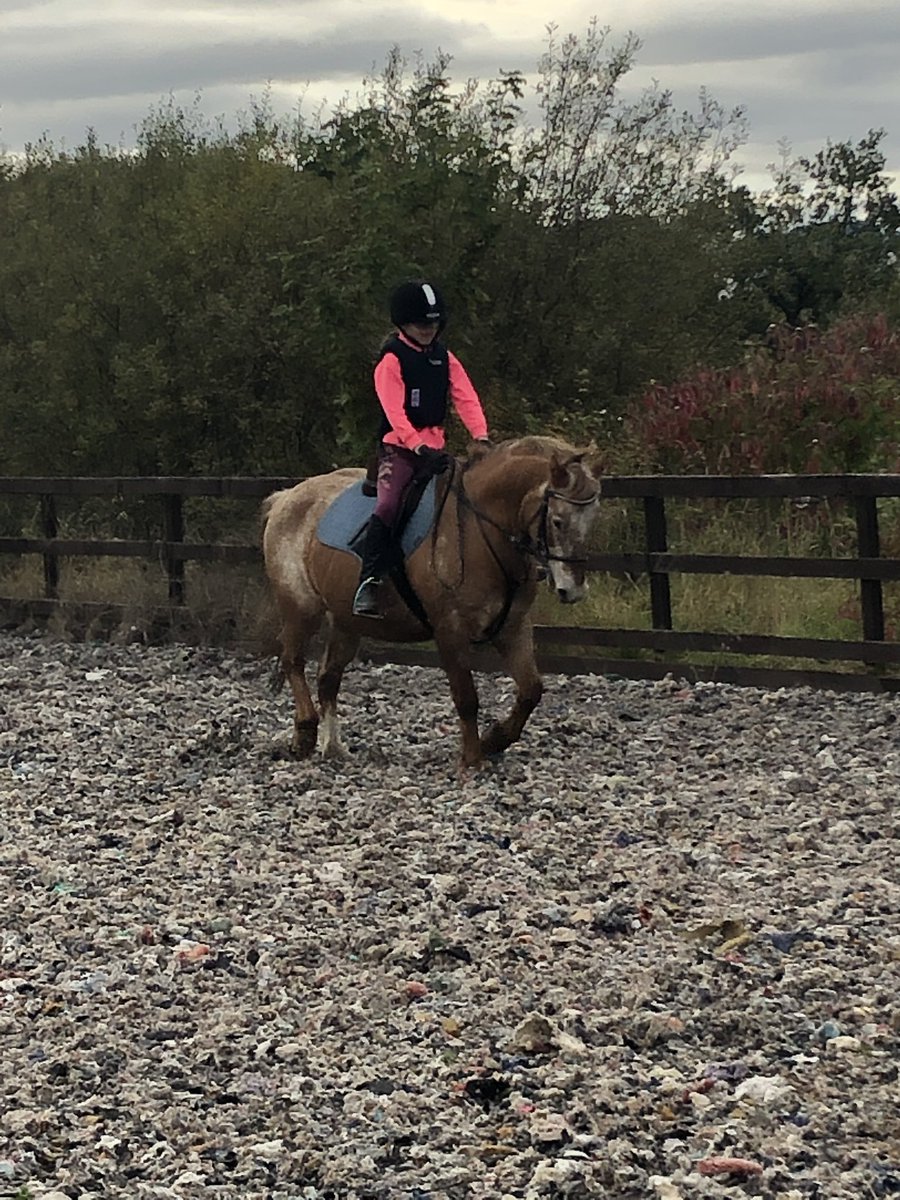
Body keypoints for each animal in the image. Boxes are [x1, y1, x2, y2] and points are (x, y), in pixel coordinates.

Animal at [261, 437, 603, 767]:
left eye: (593, 521)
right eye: (557, 521)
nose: (573, 590)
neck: (481, 533)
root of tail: (288, 496)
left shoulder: (513, 628)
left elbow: (531, 690)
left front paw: (494, 740)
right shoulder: (449, 630)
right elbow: (466, 698)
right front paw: (472, 760)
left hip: (347, 621)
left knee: (328, 678)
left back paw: (332, 747)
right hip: (301, 607)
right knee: (293, 661)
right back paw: (305, 733)